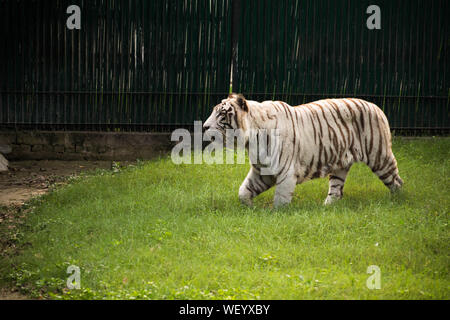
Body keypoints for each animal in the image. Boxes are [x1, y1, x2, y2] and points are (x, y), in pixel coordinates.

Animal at [202, 93, 402, 208]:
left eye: (222, 114)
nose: (203, 127)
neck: (251, 140)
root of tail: (377, 107)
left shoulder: (285, 172)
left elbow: (280, 200)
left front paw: (276, 217)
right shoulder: (263, 171)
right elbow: (243, 191)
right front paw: (249, 207)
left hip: (379, 157)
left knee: (396, 180)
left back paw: (397, 203)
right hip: (340, 165)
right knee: (336, 190)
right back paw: (327, 207)